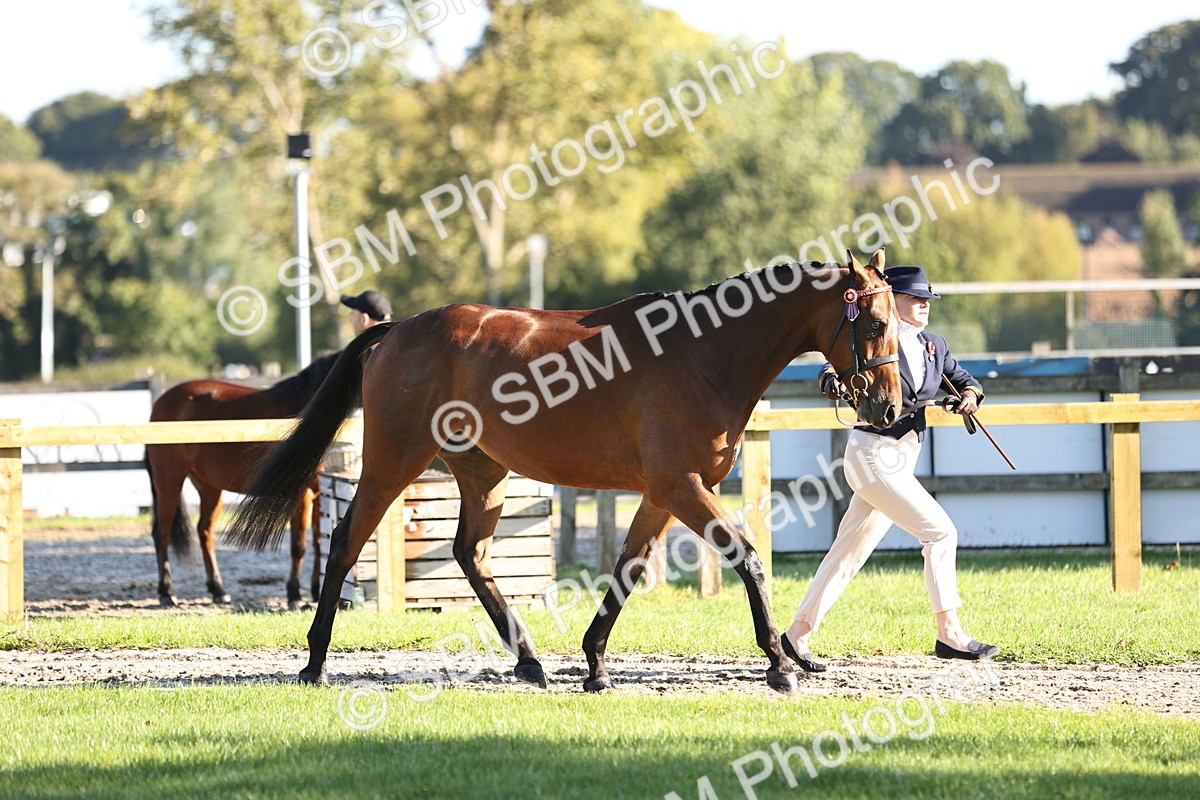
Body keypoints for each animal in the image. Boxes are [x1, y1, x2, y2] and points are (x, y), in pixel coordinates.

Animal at [145, 351, 340, 609]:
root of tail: (159, 404)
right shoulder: (302, 493)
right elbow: (299, 546)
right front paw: (295, 595)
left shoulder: (319, 491)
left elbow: (319, 540)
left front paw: (316, 591)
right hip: (169, 479)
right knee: (162, 533)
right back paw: (167, 592)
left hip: (208, 487)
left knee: (205, 532)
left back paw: (218, 590)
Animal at [228, 251, 901, 694]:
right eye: (875, 323)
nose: (889, 408)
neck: (705, 353)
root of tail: (399, 331)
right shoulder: (682, 486)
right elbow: (747, 557)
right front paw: (780, 665)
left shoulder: (663, 494)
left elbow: (628, 569)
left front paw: (595, 665)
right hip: (395, 460)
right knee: (347, 540)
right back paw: (314, 662)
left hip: (483, 472)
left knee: (470, 552)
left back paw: (528, 660)